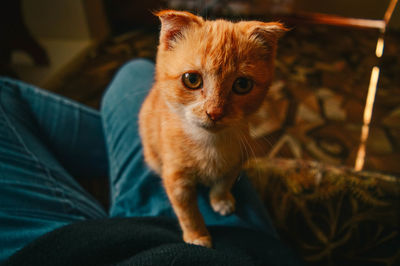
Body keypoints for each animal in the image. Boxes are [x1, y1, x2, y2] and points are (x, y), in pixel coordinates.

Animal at [139, 9, 286, 248]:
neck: (209, 145)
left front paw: (221, 200)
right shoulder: (176, 178)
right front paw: (197, 237)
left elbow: (223, 183)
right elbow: (187, 212)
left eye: (242, 85)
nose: (215, 112)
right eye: (192, 79)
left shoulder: (237, 161)